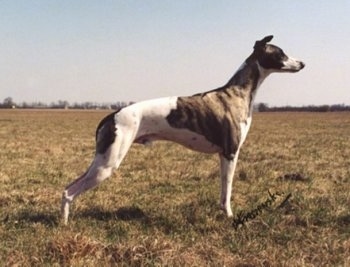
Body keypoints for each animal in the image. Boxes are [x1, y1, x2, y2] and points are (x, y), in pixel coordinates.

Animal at [61, 35, 304, 224]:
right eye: (281, 53)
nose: (302, 63)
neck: (237, 92)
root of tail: (112, 115)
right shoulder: (230, 153)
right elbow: (227, 191)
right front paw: (229, 216)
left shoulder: (223, 155)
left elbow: (223, 190)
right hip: (108, 164)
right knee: (69, 192)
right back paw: (64, 224)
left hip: (101, 160)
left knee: (68, 188)